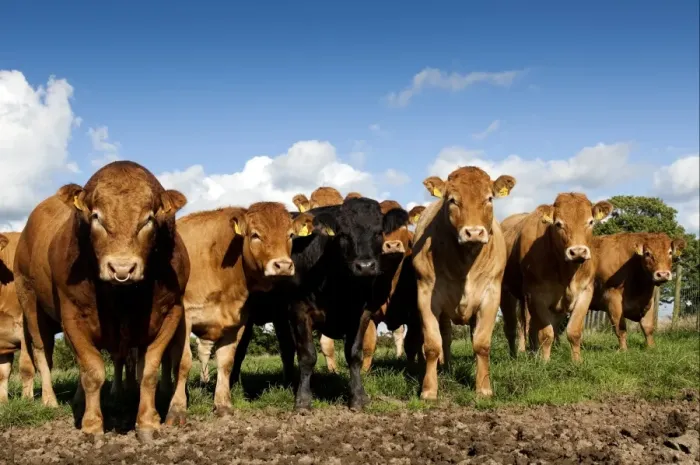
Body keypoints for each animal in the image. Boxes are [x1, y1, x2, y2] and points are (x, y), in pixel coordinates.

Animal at [13, 161, 190, 439]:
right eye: (96, 216)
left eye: (148, 218)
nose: (122, 268)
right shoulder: (73, 316)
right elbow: (92, 371)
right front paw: (92, 425)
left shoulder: (170, 312)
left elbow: (149, 371)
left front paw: (147, 422)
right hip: (28, 298)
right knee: (42, 350)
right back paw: (50, 400)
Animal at [166, 203, 312, 415]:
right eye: (255, 235)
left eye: (290, 235)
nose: (283, 266)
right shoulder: (185, 318)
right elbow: (183, 361)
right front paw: (177, 408)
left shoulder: (237, 323)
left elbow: (226, 362)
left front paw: (223, 405)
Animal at [412, 167, 516, 400]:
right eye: (452, 200)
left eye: (489, 198)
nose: (474, 232)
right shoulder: (426, 296)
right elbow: (433, 345)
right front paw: (429, 390)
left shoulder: (491, 295)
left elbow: (481, 344)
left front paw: (484, 387)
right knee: (446, 337)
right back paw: (447, 367)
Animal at [500, 193, 613, 363]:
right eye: (559, 224)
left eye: (591, 222)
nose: (578, 252)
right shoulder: (536, 295)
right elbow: (546, 333)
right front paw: (546, 362)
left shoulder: (585, 292)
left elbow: (573, 331)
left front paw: (577, 361)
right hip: (506, 293)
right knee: (512, 328)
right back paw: (515, 355)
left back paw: (533, 352)